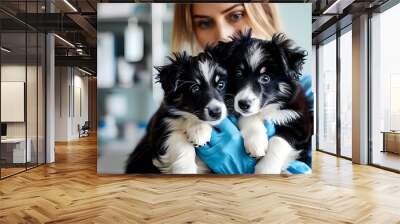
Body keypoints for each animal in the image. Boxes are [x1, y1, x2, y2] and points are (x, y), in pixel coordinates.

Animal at [216, 31, 312, 175]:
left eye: (265, 78)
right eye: (238, 73)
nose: (243, 104)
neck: (269, 107)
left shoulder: (299, 123)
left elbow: (279, 140)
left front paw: (266, 169)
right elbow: (249, 117)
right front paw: (256, 143)